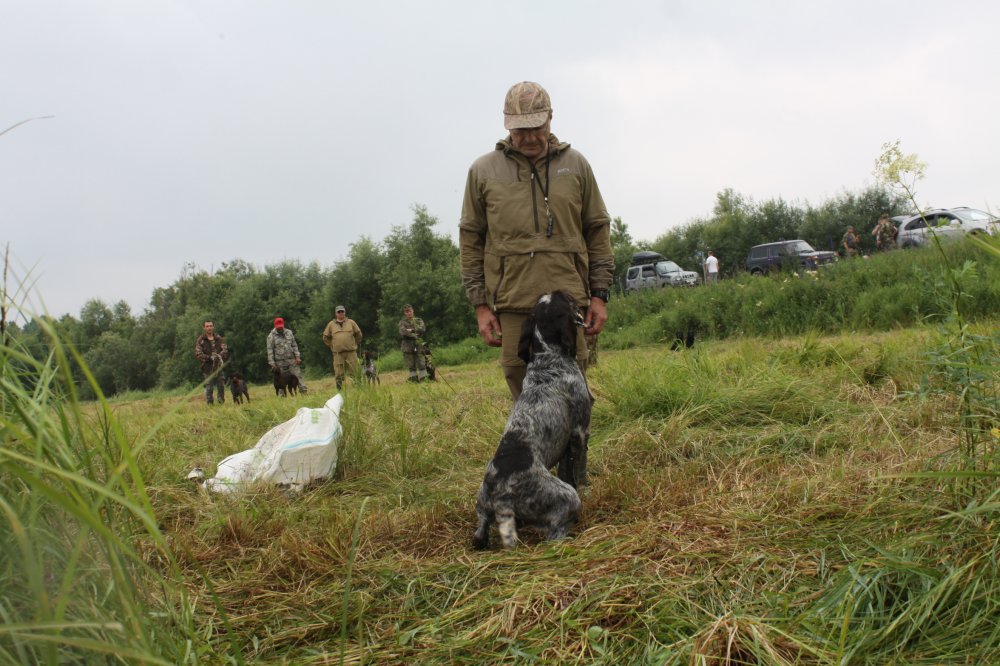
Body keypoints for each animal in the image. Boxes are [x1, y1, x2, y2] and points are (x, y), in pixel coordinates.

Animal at [472, 291, 591, 550]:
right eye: (565, 299)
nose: (565, 291)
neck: (548, 359)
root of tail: (500, 497)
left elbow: (567, 469)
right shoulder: (580, 431)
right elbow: (580, 470)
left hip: (481, 507)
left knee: (479, 534)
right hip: (566, 499)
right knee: (554, 535)